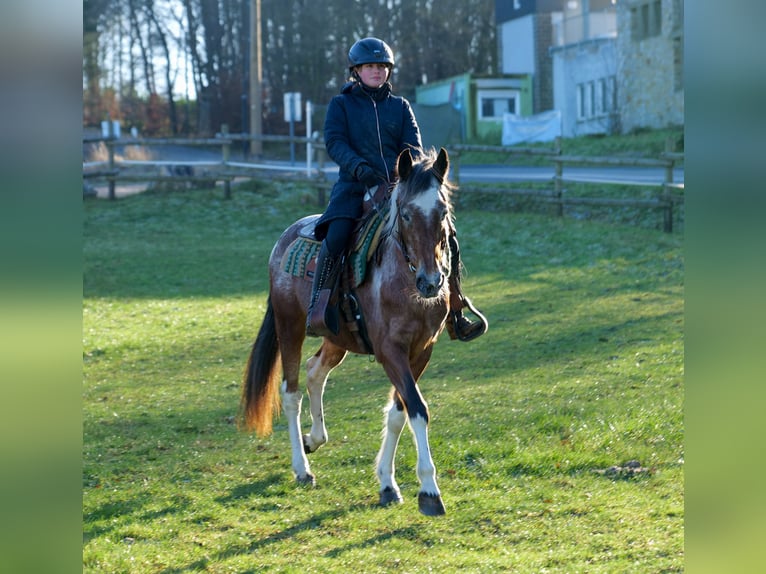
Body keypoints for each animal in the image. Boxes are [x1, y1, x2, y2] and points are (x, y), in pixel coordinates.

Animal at [237, 147, 460, 516]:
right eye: (406, 214)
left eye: (442, 212)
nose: (431, 282)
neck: (402, 281)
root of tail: (285, 238)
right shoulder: (390, 352)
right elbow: (416, 408)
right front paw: (429, 490)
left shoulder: (421, 351)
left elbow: (399, 413)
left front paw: (387, 482)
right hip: (289, 326)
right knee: (291, 392)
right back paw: (302, 469)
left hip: (335, 339)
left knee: (315, 372)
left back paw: (314, 439)